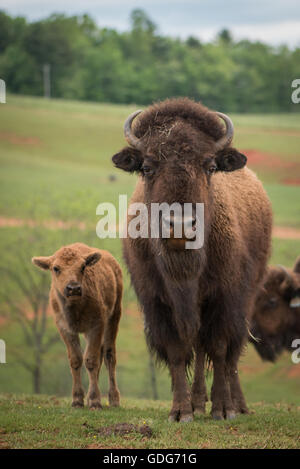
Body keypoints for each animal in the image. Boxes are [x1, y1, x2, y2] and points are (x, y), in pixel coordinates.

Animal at [32, 243, 122, 408]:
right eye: (56, 268)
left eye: (82, 266)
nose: (73, 288)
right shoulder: (65, 328)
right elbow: (76, 359)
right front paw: (78, 400)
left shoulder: (97, 325)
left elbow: (91, 360)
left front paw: (95, 401)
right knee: (100, 355)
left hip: (114, 316)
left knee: (109, 354)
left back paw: (114, 399)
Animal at [112, 98, 272, 420]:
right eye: (146, 167)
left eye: (210, 166)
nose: (180, 226)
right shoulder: (158, 303)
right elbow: (177, 352)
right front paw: (181, 411)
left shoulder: (224, 298)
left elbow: (220, 348)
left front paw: (222, 410)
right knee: (198, 349)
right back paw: (198, 402)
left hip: (248, 297)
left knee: (231, 354)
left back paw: (238, 405)